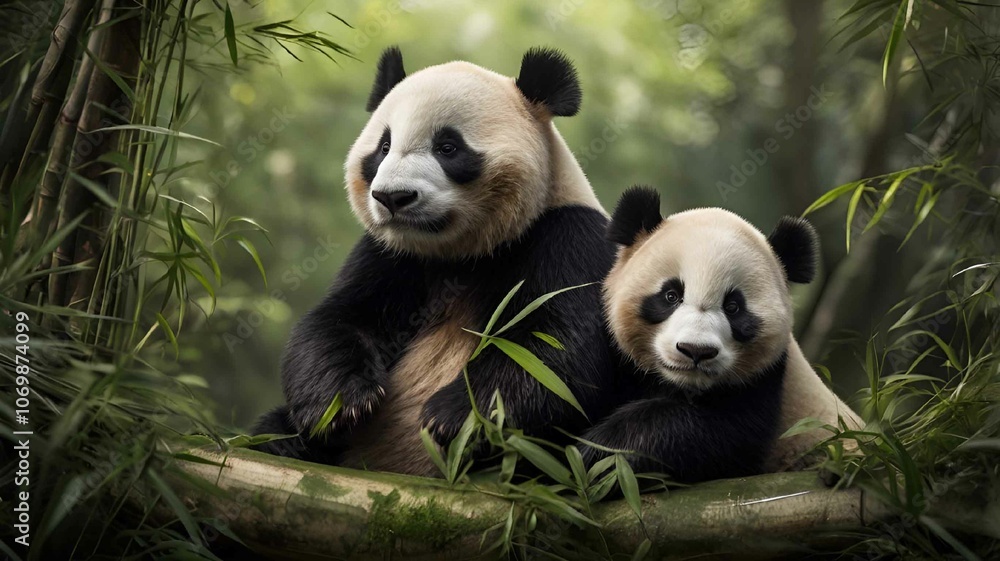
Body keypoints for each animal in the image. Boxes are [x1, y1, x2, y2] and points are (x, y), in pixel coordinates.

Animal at [252, 47, 619, 476]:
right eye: (383, 147)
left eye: (448, 147)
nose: (393, 198)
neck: (458, 254)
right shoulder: (392, 255)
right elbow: (339, 319)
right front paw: (342, 402)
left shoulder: (567, 238)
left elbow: (551, 352)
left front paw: (454, 417)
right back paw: (286, 443)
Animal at [580, 186, 862, 482]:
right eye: (671, 295)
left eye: (733, 307)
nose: (695, 351)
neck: (684, 385)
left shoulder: (764, 385)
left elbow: (709, 435)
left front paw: (597, 455)